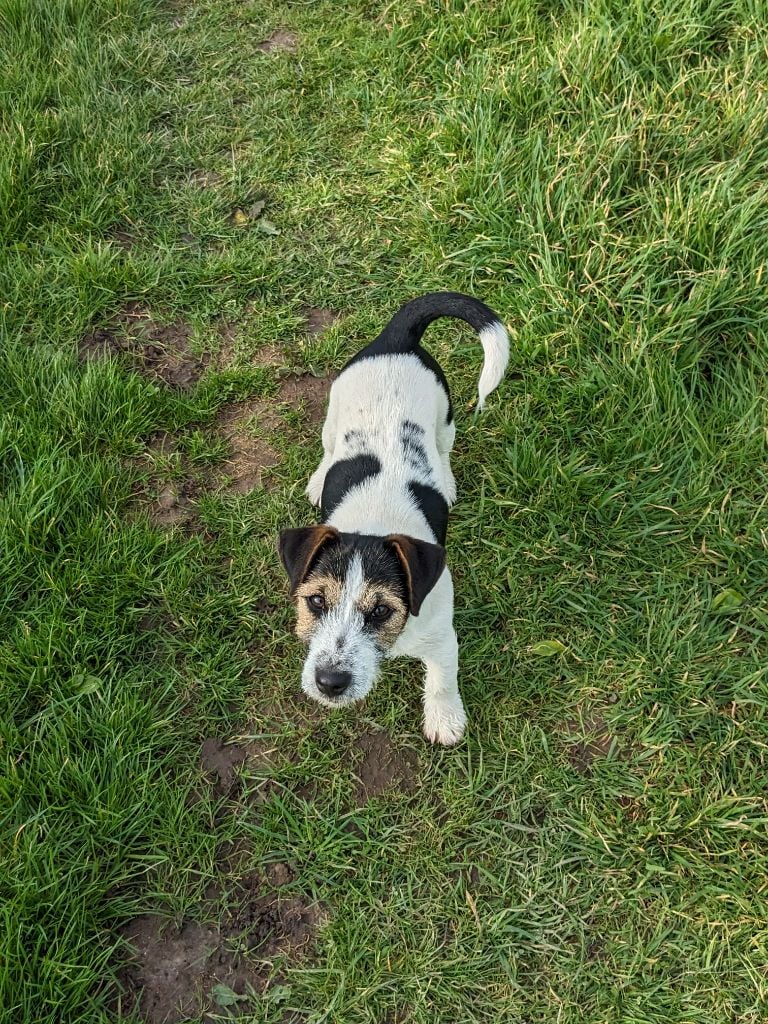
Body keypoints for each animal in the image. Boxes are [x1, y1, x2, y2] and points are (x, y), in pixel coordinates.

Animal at [278, 292, 512, 741]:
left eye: (382, 611)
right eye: (315, 601)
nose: (330, 683)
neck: (374, 522)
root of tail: (397, 339)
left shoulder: (442, 637)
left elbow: (442, 680)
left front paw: (445, 719)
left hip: (445, 417)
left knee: (443, 448)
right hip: (333, 414)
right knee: (328, 447)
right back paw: (318, 479)